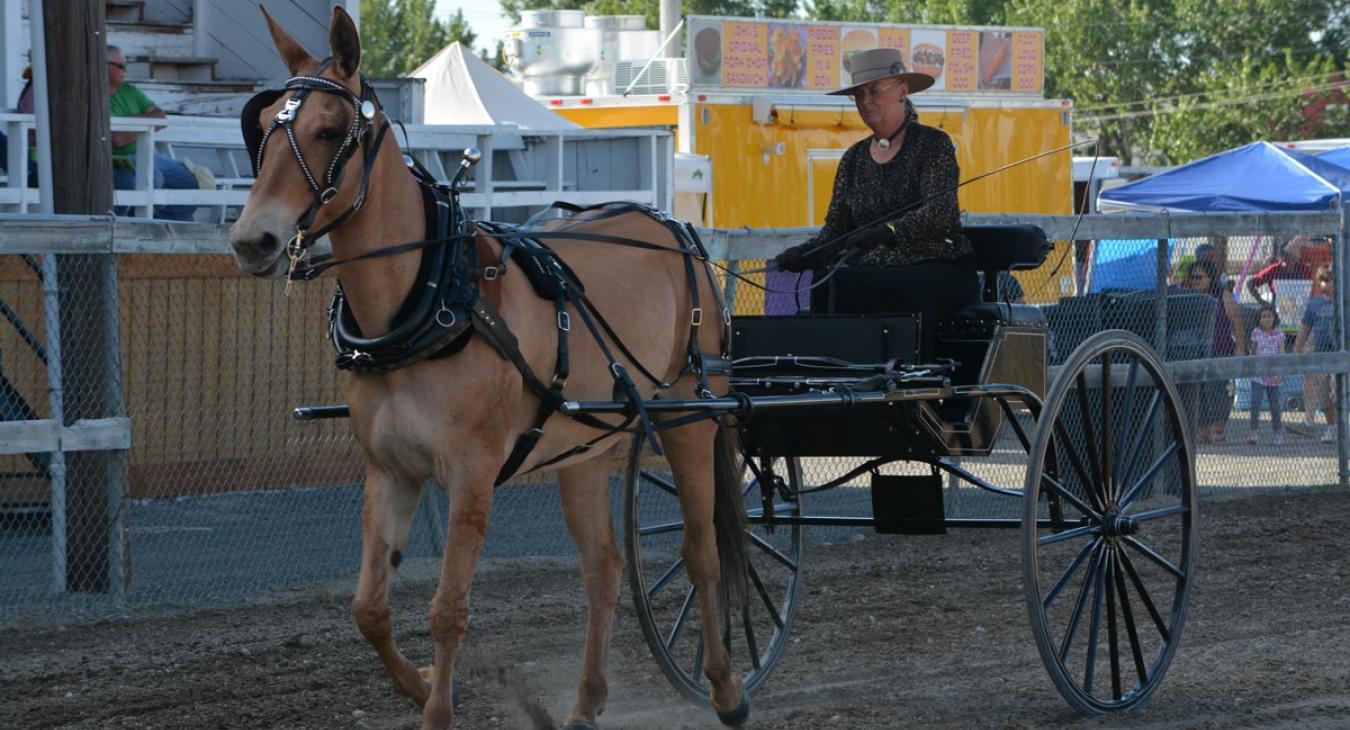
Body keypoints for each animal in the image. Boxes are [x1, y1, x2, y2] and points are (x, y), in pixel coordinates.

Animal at [228, 6, 751, 730]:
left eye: (329, 130)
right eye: (264, 126)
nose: (253, 240)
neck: (431, 298)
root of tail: (673, 228)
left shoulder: (472, 474)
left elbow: (448, 611)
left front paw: (437, 709)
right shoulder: (391, 472)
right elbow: (368, 609)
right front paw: (420, 683)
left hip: (691, 419)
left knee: (702, 553)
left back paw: (725, 688)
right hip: (584, 448)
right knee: (604, 566)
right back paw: (586, 703)